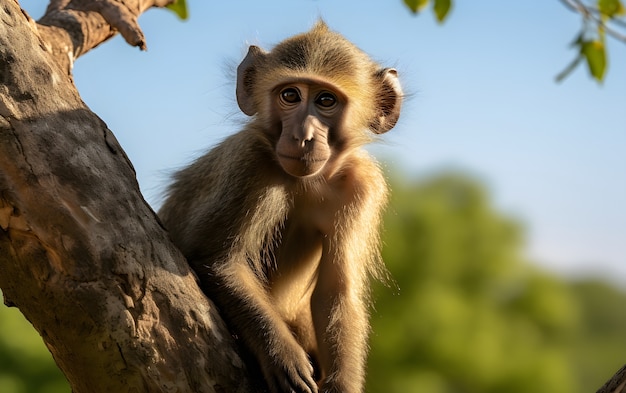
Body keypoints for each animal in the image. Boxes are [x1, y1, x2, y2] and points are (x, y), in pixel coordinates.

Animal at [158, 22, 402, 392]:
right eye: (290, 96)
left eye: (326, 100)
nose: (302, 136)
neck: (311, 180)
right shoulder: (251, 160)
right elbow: (218, 261)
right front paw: (281, 353)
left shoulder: (362, 187)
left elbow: (336, 292)